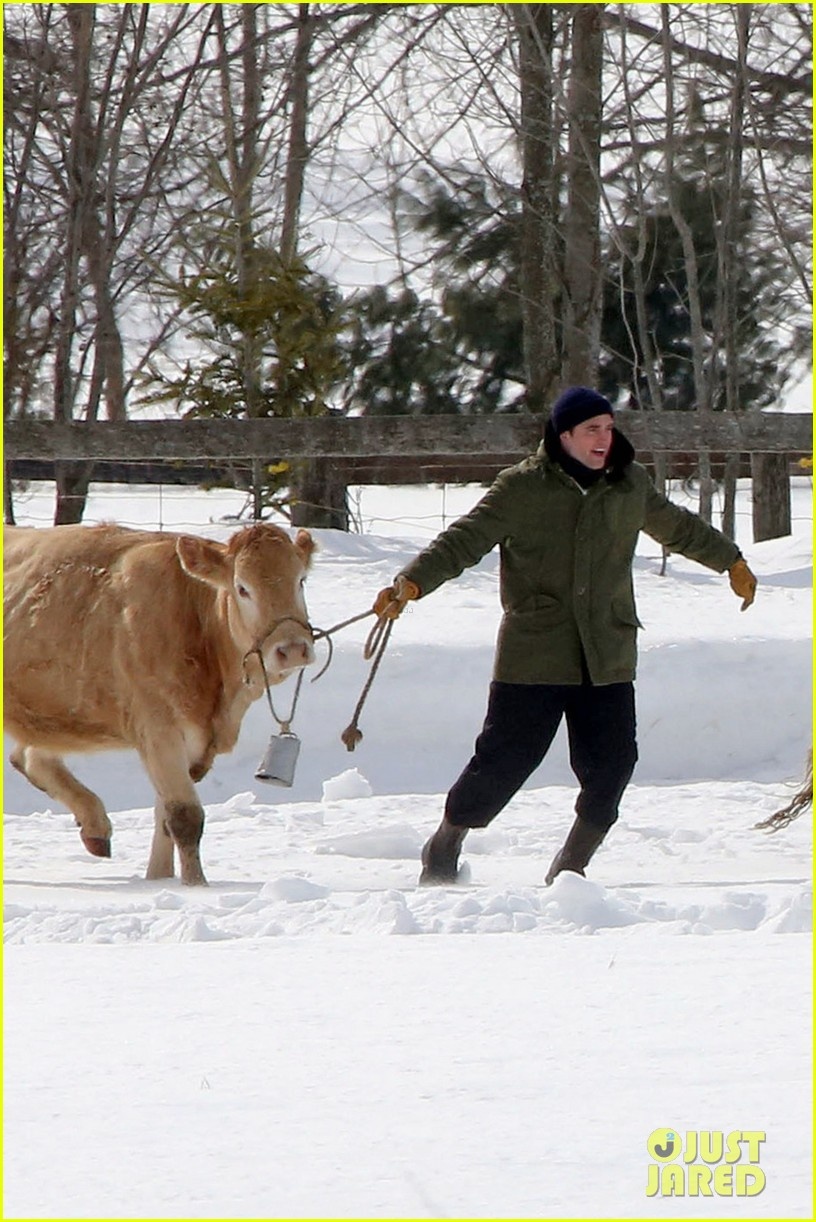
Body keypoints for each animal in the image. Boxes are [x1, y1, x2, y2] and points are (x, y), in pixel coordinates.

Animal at [3, 520, 315, 884]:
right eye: (242, 588)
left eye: (301, 580)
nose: (292, 648)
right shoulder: (158, 728)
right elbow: (184, 816)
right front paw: (196, 886)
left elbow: (164, 817)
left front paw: (158, 878)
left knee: (29, 756)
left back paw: (95, 827)